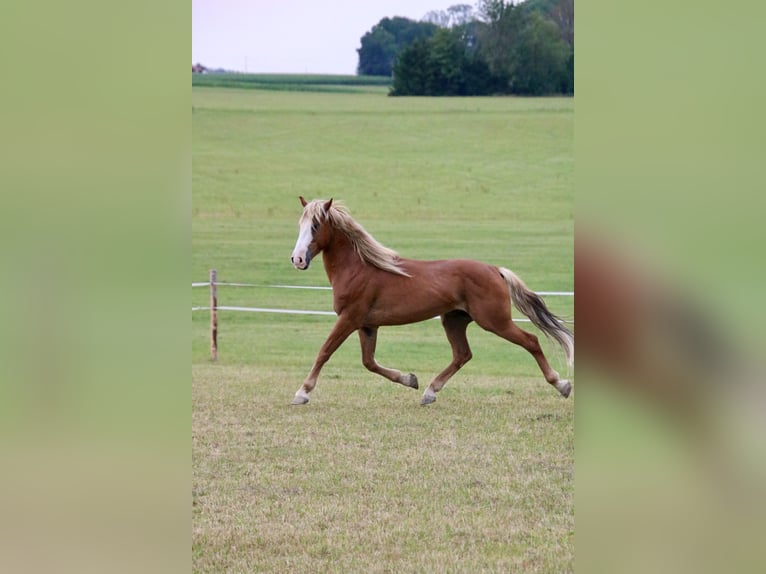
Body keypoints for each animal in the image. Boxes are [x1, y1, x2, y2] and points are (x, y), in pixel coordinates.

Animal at [289, 197, 573, 406]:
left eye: (315, 226)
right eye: (300, 226)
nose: (298, 259)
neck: (360, 268)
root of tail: (495, 270)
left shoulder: (349, 318)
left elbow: (324, 352)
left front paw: (302, 393)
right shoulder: (367, 325)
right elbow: (369, 362)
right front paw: (410, 379)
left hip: (494, 321)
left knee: (531, 341)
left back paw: (562, 385)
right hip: (454, 320)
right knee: (463, 354)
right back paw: (429, 392)